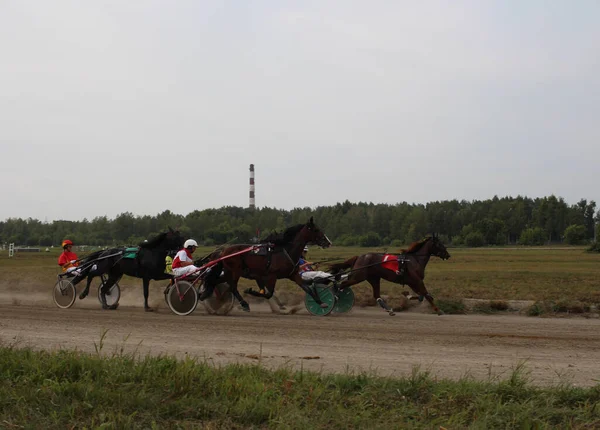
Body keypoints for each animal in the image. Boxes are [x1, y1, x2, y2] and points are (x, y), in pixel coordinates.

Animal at [202, 218, 332, 312]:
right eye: (316, 230)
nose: (328, 242)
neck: (286, 251)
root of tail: (223, 251)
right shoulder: (271, 276)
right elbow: (268, 294)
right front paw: (250, 291)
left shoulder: (293, 275)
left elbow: (307, 288)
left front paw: (321, 303)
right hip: (235, 271)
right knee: (232, 287)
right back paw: (244, 304)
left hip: (229, 272)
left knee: (216, 282)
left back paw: (210, 297)